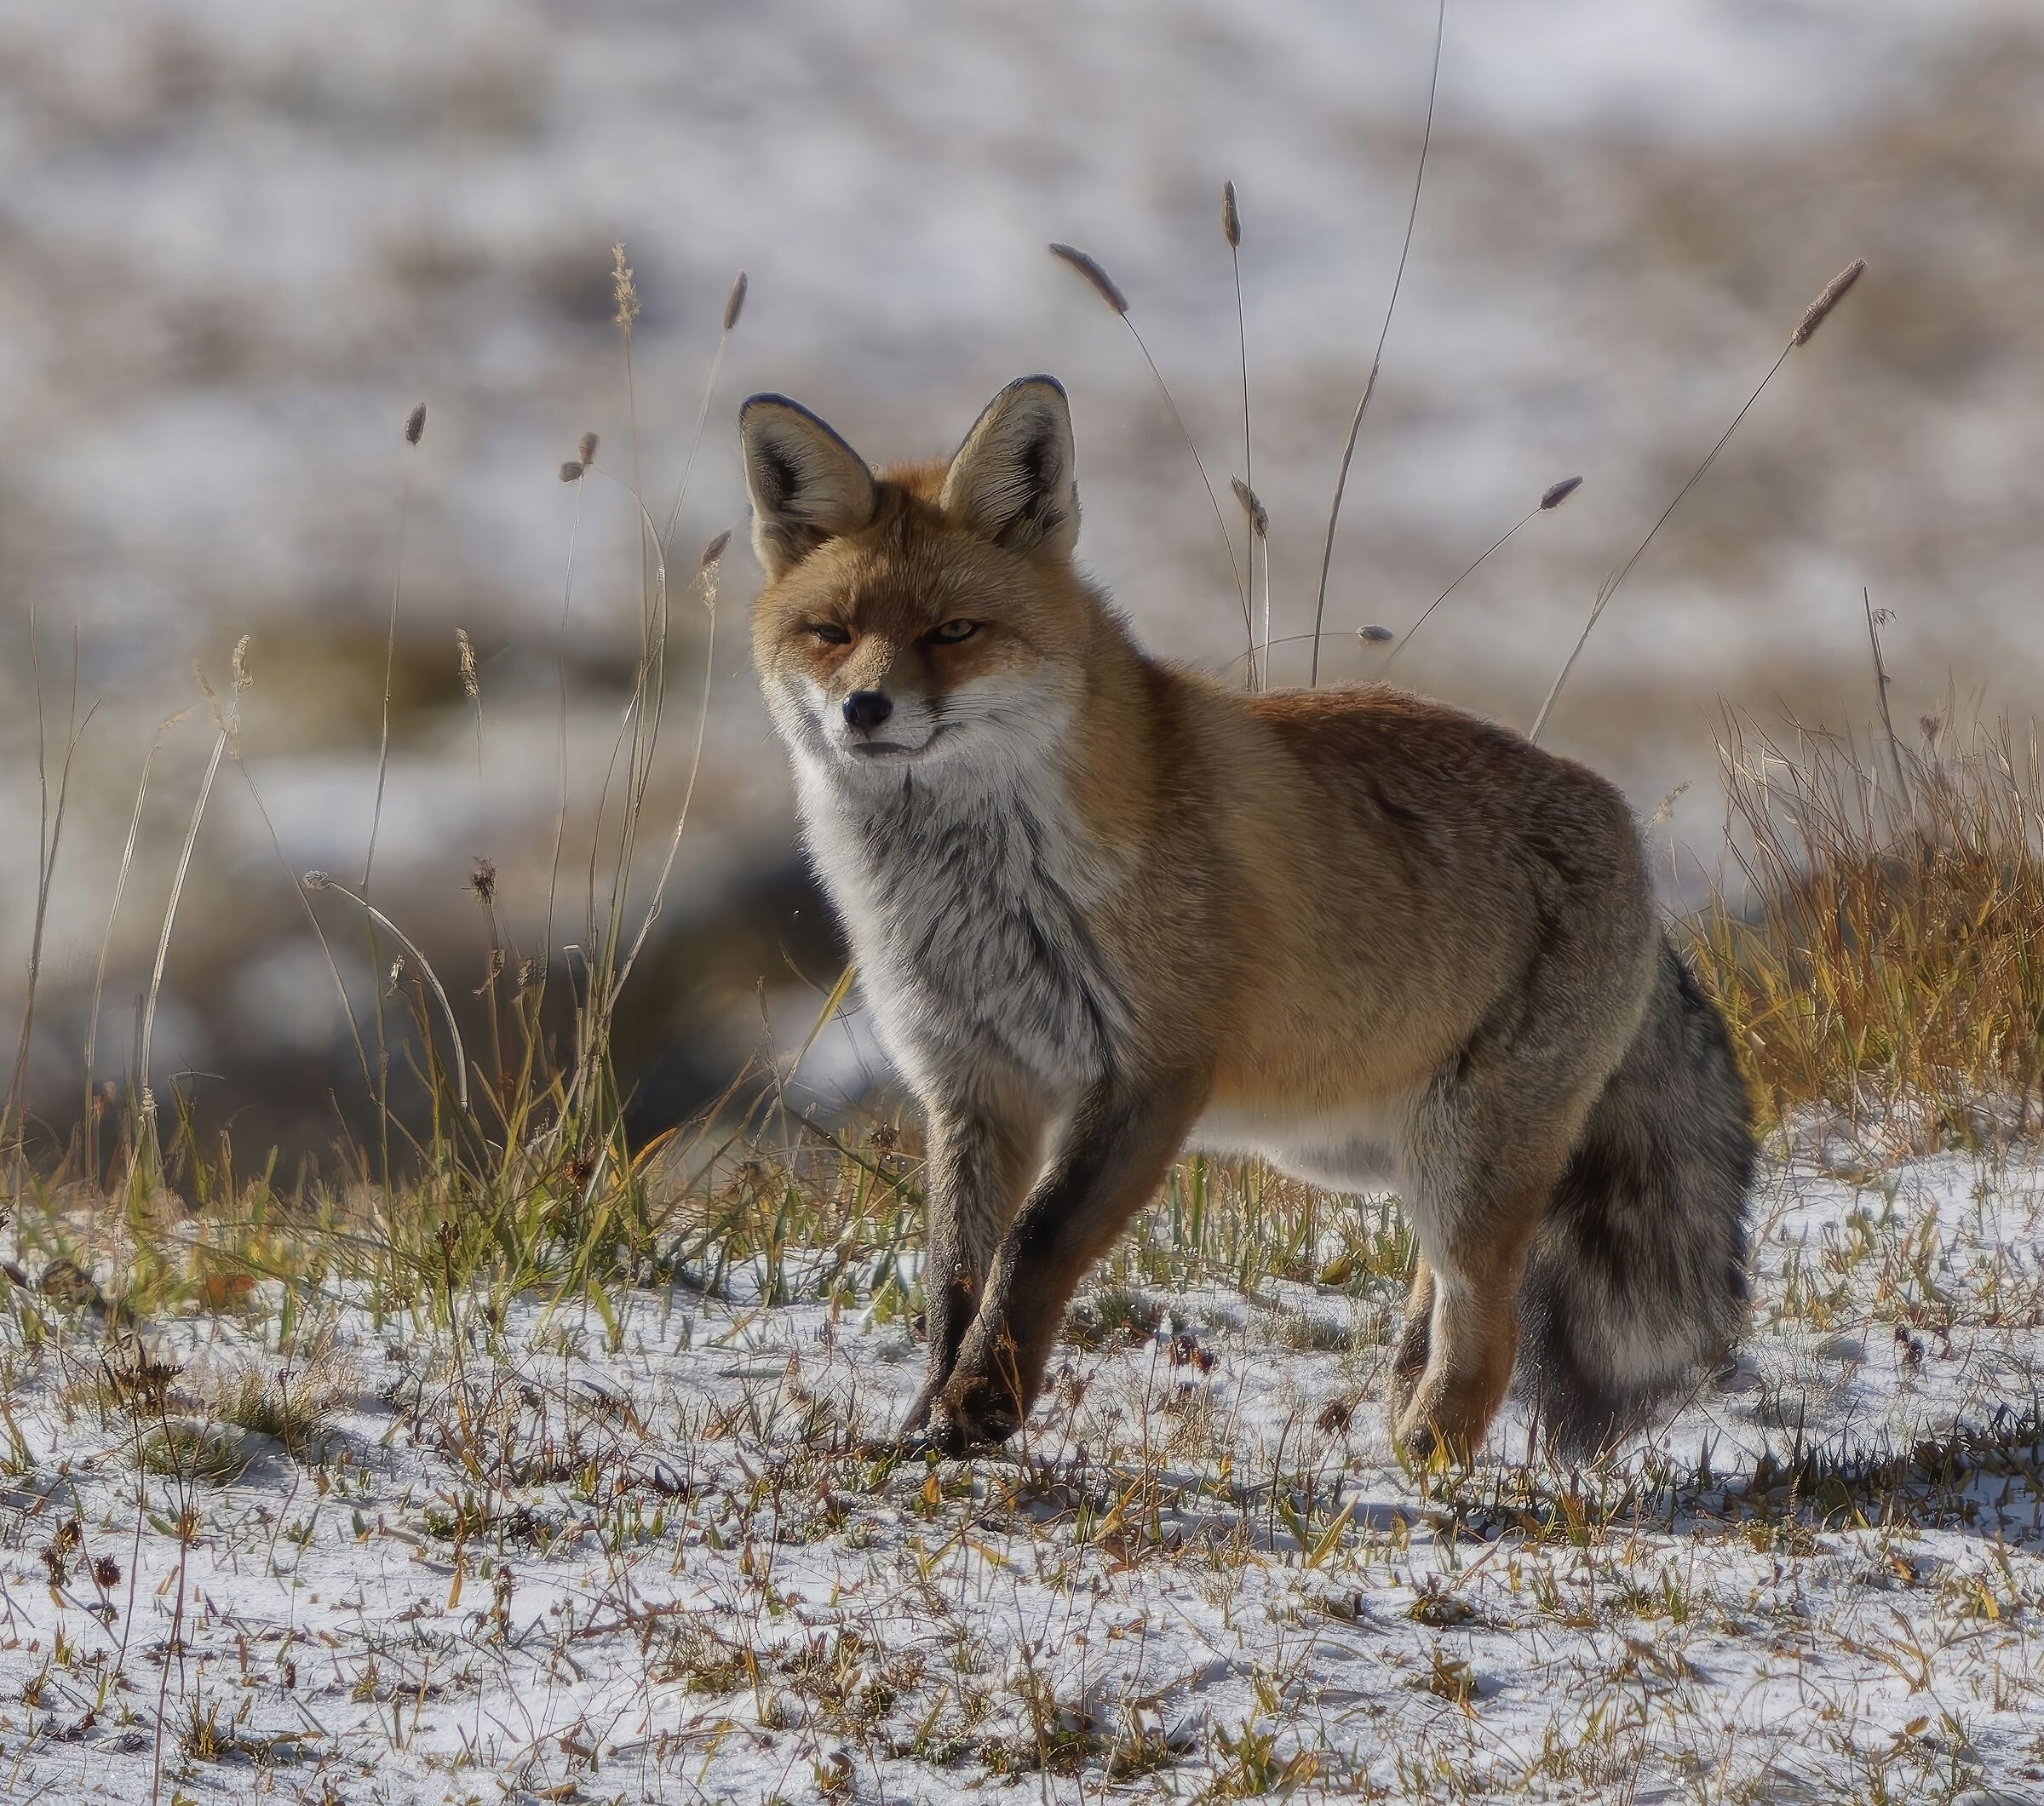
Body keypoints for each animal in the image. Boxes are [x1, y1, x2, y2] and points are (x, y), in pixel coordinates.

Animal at [739, 373, 1754, 1463]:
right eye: (833, 633)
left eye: (953, 632)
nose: (865, 709)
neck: (977, 897)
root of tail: (1622, 824)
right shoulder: (973, 1085)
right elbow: (953, 1282)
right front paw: (929, 1421)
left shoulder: (1150, 1073)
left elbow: (1033, 1246)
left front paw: (983, 1409)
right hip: (1376, 1152)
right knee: (1441, 1292)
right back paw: (1403, 1409)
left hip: (1459, 1161)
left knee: (1494, 1324)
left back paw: (1424, 1459)